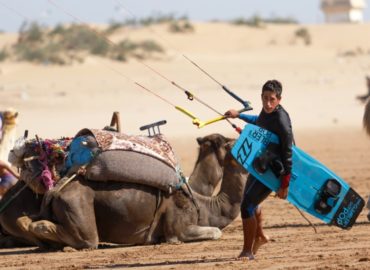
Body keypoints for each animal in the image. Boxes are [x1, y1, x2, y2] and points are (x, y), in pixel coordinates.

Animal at [13, 132, 246, 249]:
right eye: (230, 142)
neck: (204, 205)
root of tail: (55, 189)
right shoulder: (178, 229)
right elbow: (215, 232)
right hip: (77, 205)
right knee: (86, 239)